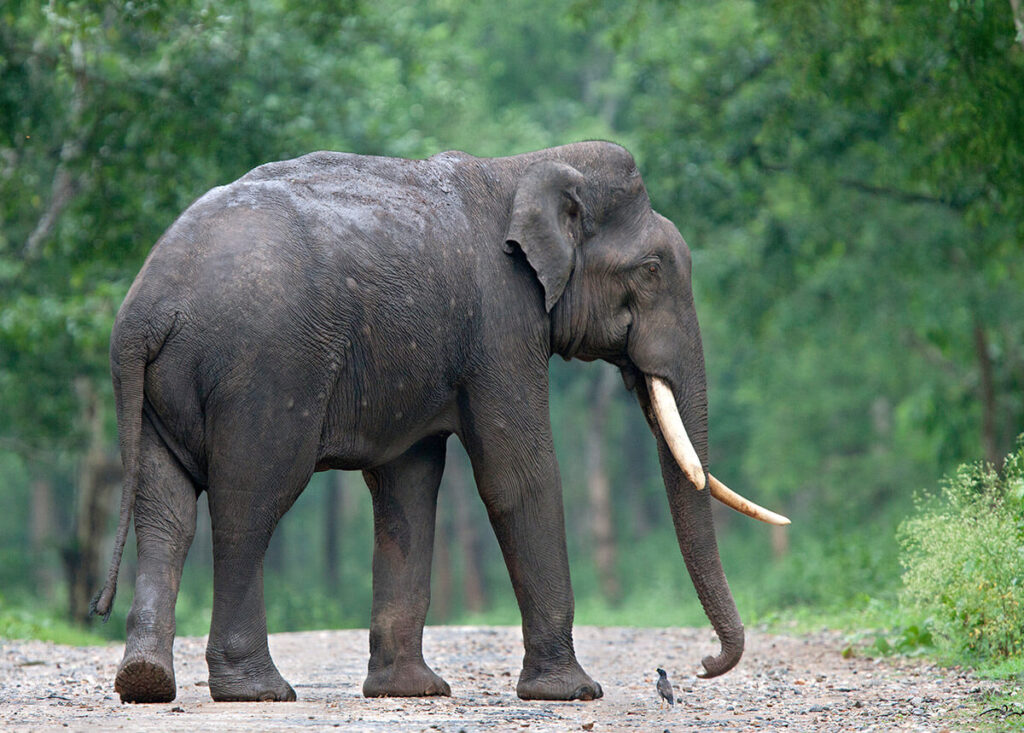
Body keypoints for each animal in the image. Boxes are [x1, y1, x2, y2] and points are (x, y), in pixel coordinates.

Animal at [92, 140, 788, 705]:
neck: (522, 167)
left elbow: (409, 487)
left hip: (162, 391)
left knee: (166, 510)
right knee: (252, 502)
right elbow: (518, 477)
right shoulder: (500, 322)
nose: (703, 665)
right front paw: (573, 693)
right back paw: (258, 692)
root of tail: (146, 309)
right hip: (265, 370)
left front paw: (411, 691)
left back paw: (146, 683)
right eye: (651, 269)